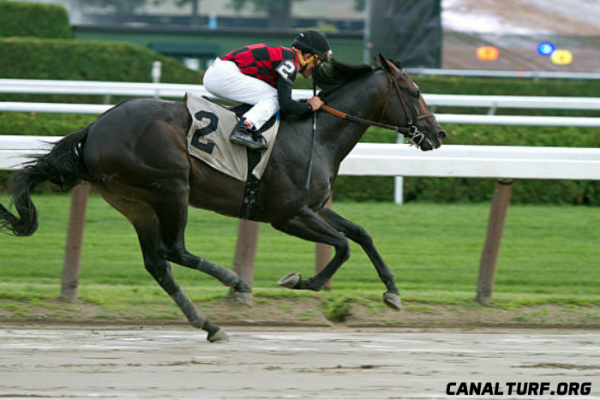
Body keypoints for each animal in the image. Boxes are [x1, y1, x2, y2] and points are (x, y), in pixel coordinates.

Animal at [1, 54, 446, 342]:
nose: (438, 134)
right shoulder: (288, 215)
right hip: (172, 187)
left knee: (158, 263)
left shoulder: (313, 207)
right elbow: (342, 246)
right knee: (174, 249)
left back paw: (209, 325)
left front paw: (392, 292)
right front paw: (301, 280)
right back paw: (234, 282)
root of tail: (93, 128)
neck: (314, 134)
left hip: (132, 201)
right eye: (414, 91)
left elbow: (361, 234)